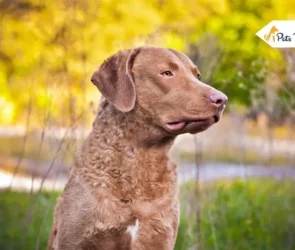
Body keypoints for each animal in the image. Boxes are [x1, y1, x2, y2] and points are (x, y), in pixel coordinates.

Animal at [48, 47, 228, 250]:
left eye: (197, 75)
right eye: (167, 73)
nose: (222, 99)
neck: (140, 159)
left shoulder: (159, 237)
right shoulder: (75, 240)